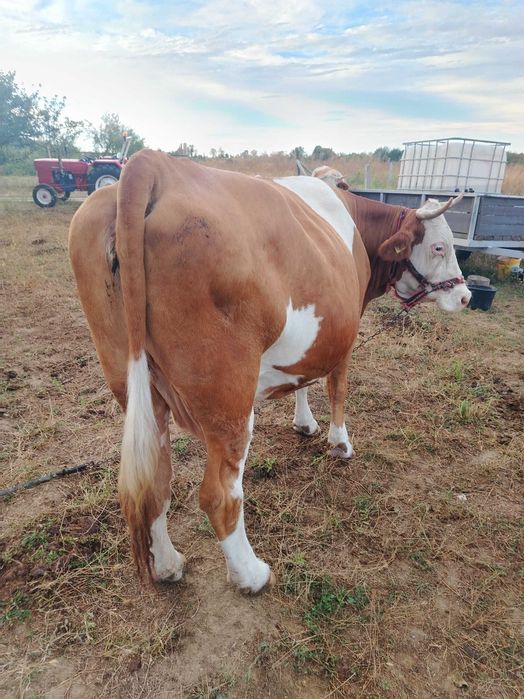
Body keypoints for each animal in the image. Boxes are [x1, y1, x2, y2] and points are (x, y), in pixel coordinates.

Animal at [69, 149, 470, 594]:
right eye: (439, 246)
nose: (466, 295)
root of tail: (154, 163)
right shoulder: (345, 334)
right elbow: (337, 388)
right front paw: (340, 444)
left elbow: (304, 379)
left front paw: (304, 423)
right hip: (228, 396)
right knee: (219, 494)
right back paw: (251, 574)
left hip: (133, 381)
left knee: (155, 480)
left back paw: (168, 564)